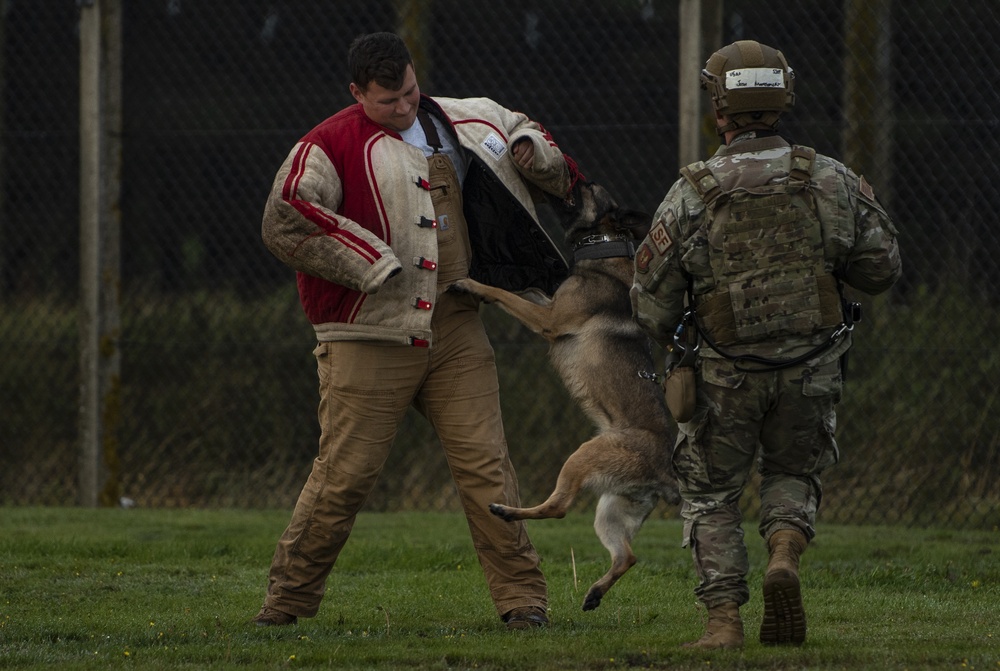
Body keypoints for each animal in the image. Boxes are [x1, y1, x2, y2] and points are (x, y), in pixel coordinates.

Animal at [452, 181, 680, 612]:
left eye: (588, 186)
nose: (569, 180)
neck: (604, 245)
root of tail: (664, 471)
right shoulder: (549, 307)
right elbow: (529, 291)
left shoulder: (550, 321)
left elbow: (507, 295)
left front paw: (473, 284)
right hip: (611, 511)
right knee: (628, 556)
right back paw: (593, 594)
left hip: (583, 456)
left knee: (558, 508)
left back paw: (507, 511)